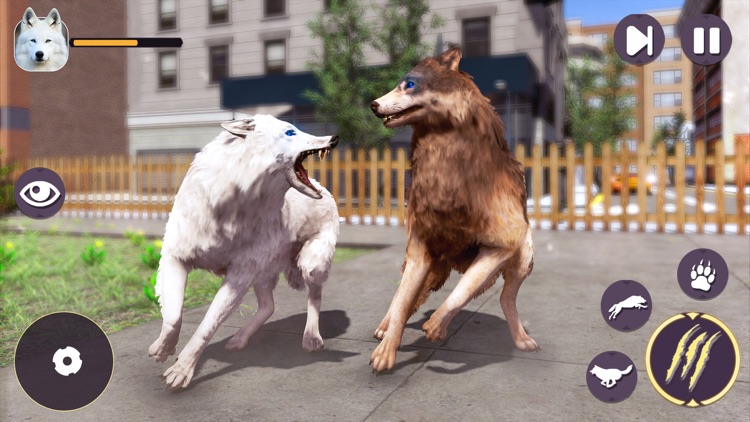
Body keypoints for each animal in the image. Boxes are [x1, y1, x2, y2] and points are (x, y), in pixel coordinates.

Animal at [148, 115, 339, 389]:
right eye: (290, 132)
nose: (335, 138)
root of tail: (325, 190)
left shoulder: (239, 276)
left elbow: (207, 326)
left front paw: (182, 370)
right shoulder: (177, 257)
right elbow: (173, 317)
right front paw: (163, 349)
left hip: (309, 264)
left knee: (315, 294)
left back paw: (311, 338)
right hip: (263, 272)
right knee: (269, 306)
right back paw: (240, 338)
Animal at [369, 48, 539, 372]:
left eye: (409, 85)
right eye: (399, 84)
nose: (373, 105)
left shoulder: (501, 246)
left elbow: (460, 294)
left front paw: (436, 327)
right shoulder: (420, 249)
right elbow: (402, 302)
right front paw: (387, 352)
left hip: (523, 259)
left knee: (504, 299)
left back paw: (521, 339)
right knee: (402, 297)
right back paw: (384, 326)